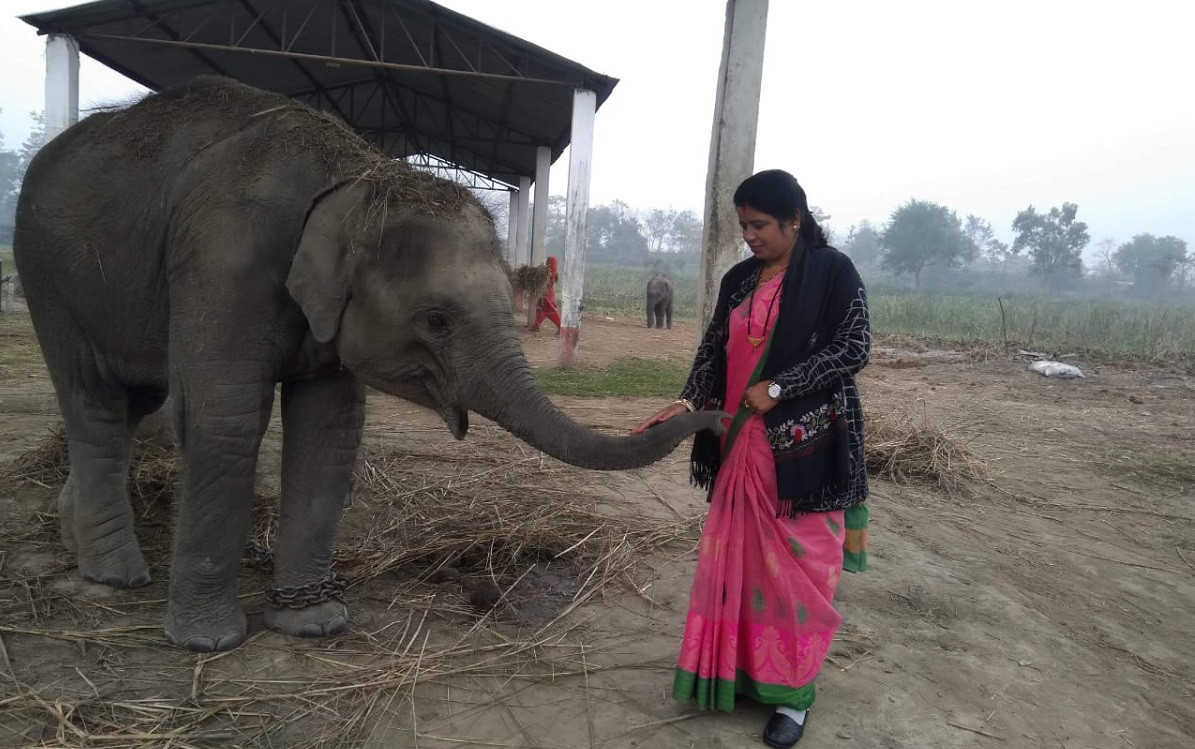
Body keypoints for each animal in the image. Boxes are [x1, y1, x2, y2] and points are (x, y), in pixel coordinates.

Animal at [13, 77, 724, 652]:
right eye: (436, 321)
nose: (711, 412)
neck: (356, 179)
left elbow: (328, 432)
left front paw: (314, 623)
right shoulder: (223, 260)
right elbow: (227, 422)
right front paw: (208, 643)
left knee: (132, 400)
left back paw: (79, 540)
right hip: (47, 274)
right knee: (96, 400)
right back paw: (114, 574)